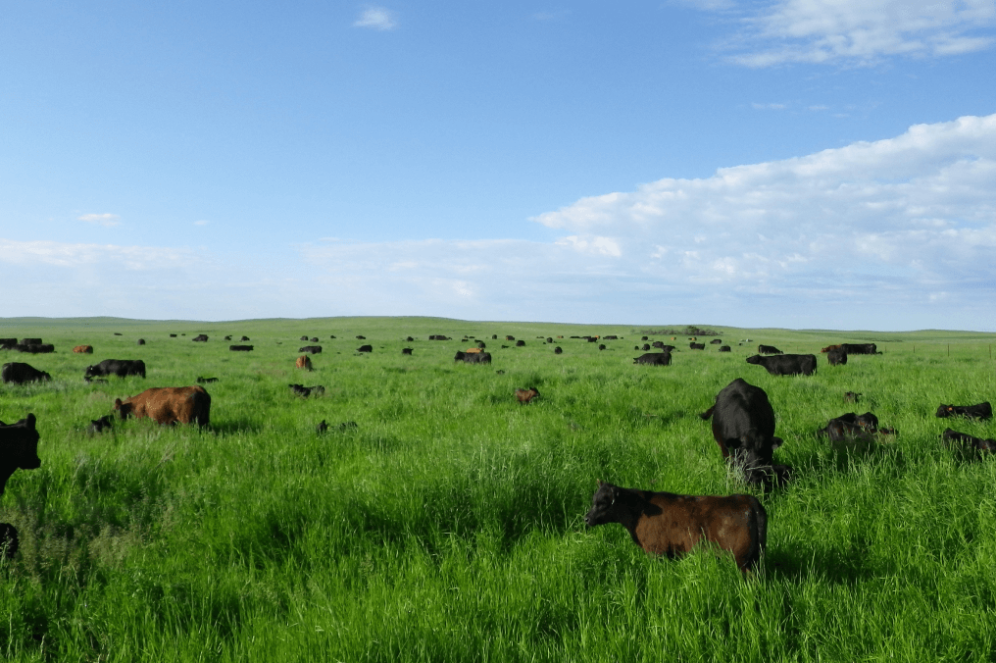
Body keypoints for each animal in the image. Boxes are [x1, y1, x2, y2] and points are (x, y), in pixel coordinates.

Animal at [584, 482, 772, 576]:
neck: (640, 511)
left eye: (603, 502)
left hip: (741, 560)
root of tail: (748, 500)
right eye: (594, 500)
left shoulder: (656, 551)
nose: (586, 518)